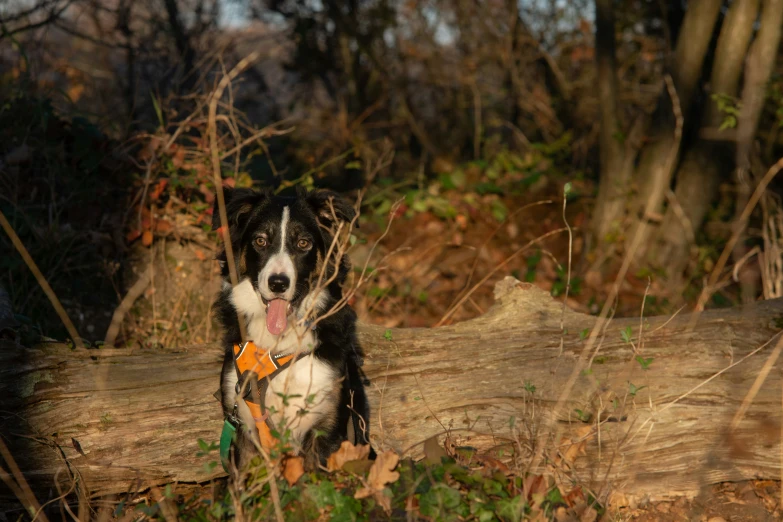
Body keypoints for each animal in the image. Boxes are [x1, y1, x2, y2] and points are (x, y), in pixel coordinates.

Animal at [211, 186, 374, 468]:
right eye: (261, 241)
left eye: (303, 243)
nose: (278, 283)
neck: (278, 346)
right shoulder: (243, 426)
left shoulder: (327, 424)